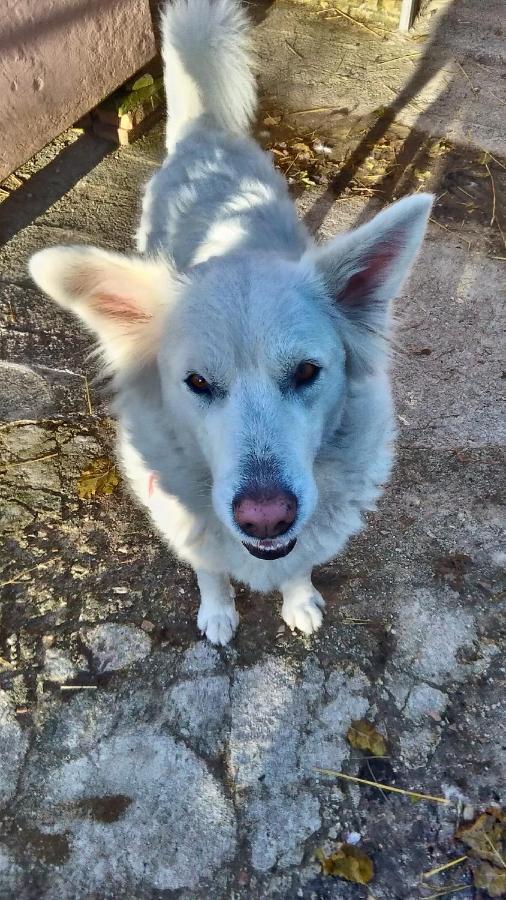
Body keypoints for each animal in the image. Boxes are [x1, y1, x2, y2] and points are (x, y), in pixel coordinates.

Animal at [28, 0, 430, 648]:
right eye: (196, 383)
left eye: (308, 372)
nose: (265, 517)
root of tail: (207, 133)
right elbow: (209, 567)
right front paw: (217, 612)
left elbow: (300, 561)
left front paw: (299, 599)